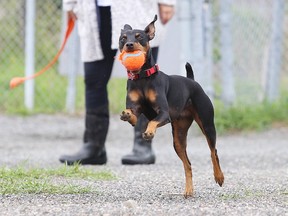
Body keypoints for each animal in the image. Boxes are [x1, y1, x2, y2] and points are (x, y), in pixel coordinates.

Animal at [118, 15, 224, 197]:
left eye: (140, 37)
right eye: (123, 38)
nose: (129, 45)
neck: (142, 78)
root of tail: (192, 81)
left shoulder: (164, 113)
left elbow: (152, 121)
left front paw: (149, 132)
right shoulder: (136, 111)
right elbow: (132, 115)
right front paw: (126, 114)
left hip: (207, 125)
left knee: (213, 152)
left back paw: (219, 177)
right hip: (178, 138)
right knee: (188, 164)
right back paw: (189, 190)